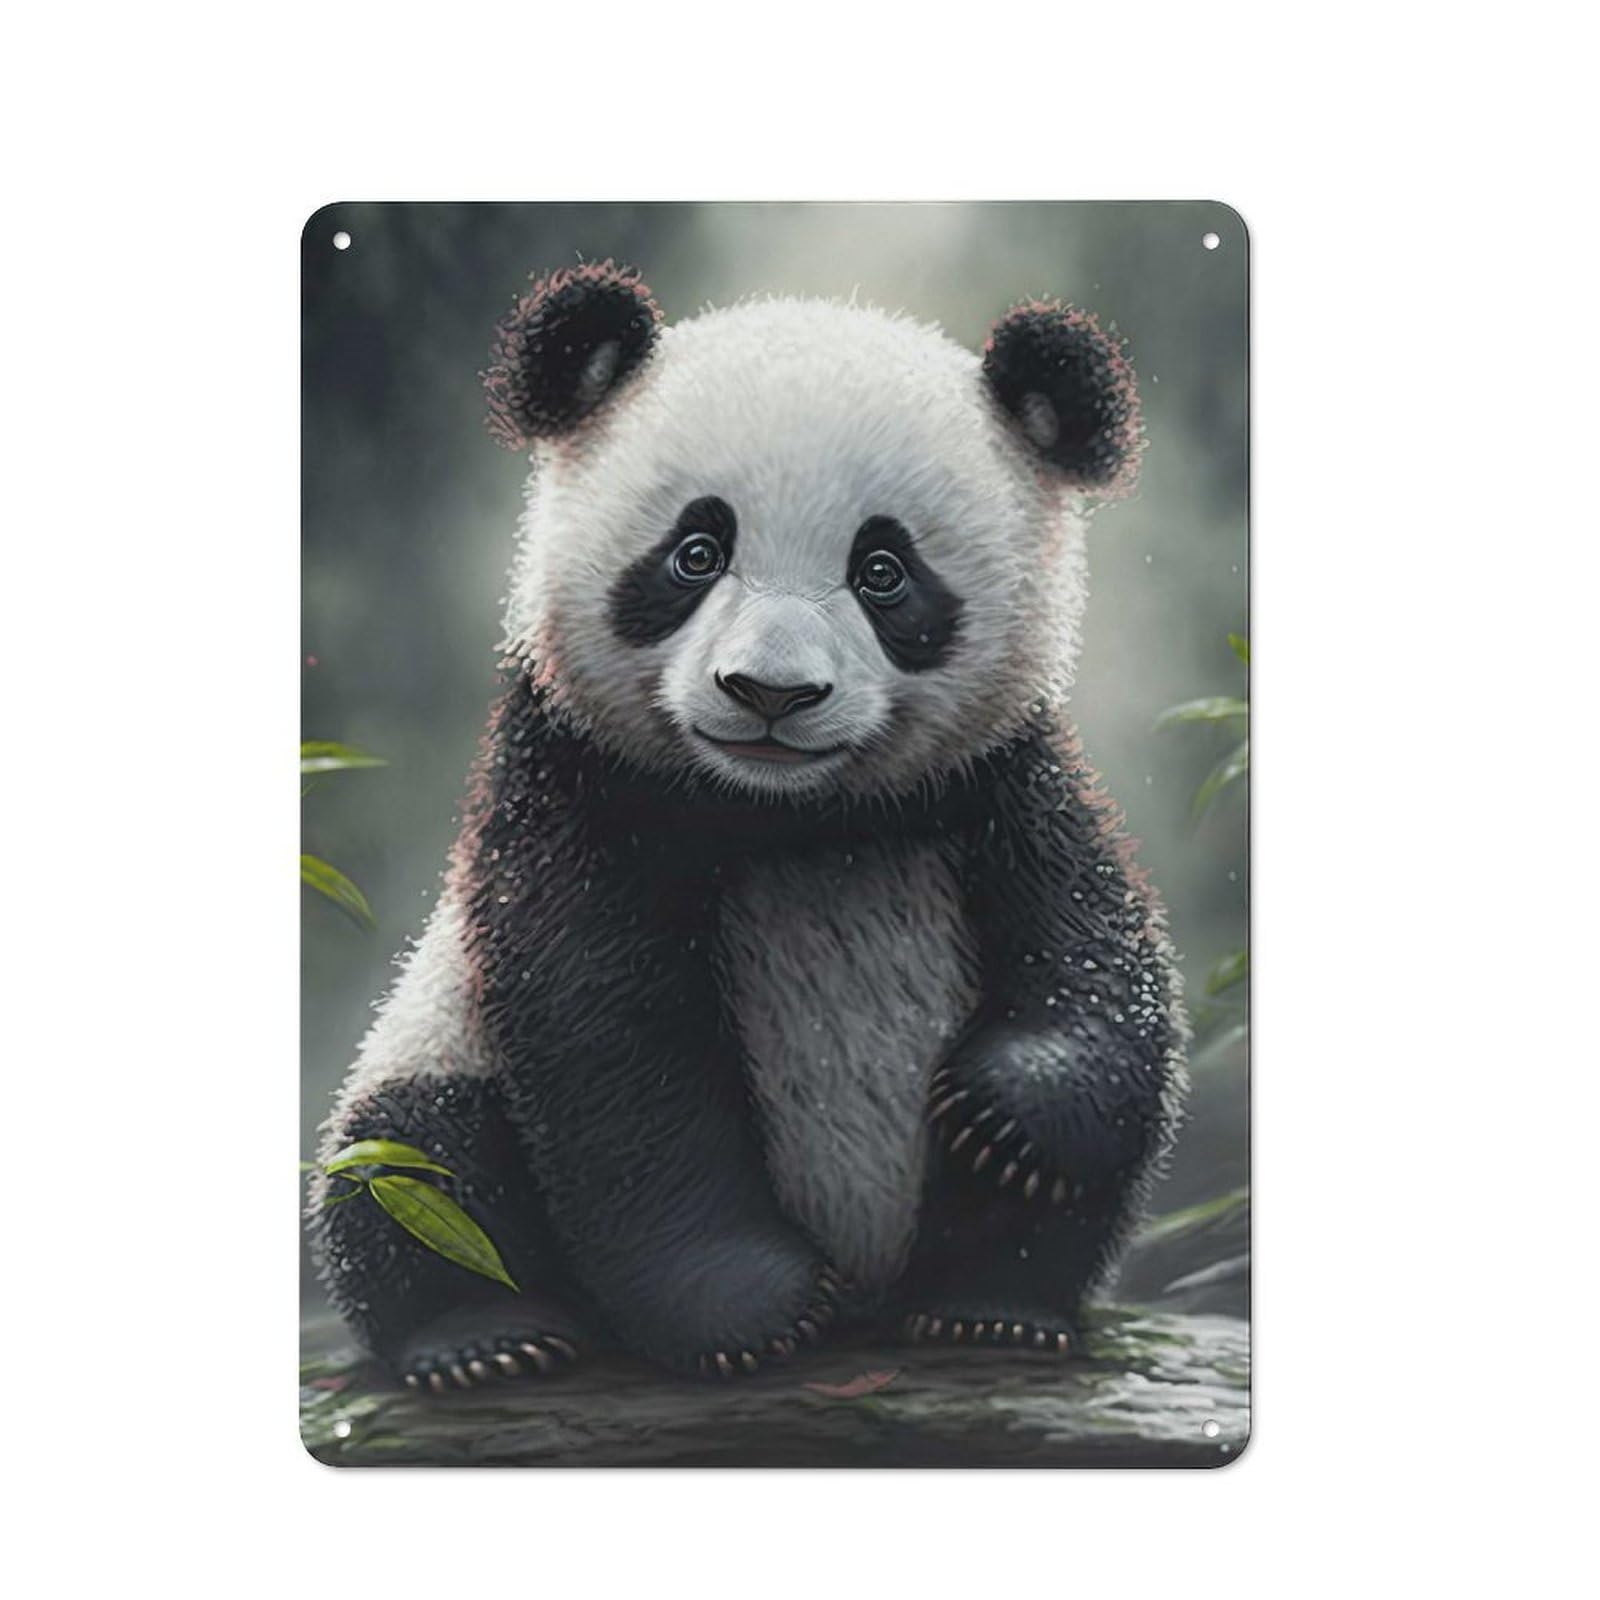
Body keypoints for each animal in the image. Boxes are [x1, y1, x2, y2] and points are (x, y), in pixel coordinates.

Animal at [310, 261, 1188, 1390]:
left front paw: (1011, 1114)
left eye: (883, 572)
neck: (784, 814)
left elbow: (1092, 941)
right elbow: (611, 1040)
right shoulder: (576, 786)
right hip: (433, 1050)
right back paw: (482, 1339)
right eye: (695, 551)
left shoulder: (996, 780)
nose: (770, 692)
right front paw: (747, 1310)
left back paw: (991, 1309)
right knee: (409, 1164)